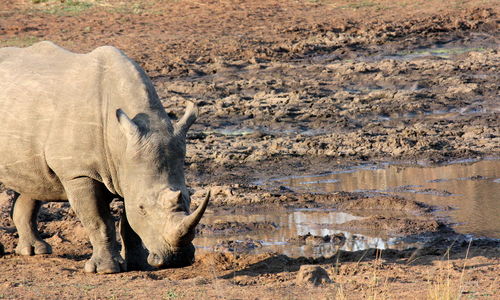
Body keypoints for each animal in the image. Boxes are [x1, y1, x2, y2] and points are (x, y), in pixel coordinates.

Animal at [0, 41, 209, 274]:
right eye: (143, 208)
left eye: (189, 199)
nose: (177, 259)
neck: (120, 144)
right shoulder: (79, 173)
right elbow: (99, 220)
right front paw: (106, 270)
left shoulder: (131, 170)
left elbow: (129, 224)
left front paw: (139, 264)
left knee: (32, 179)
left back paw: (35, 251)